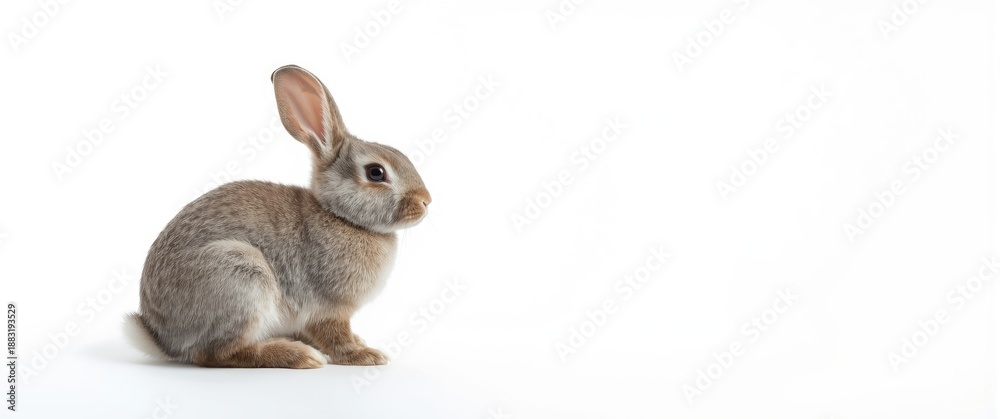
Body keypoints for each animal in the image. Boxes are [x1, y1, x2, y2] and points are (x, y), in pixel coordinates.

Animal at [123, 65, 431, 368]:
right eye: (376, 173)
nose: (426, 201)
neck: (340, 216)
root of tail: (164, 339)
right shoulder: (327, 308)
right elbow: (335, 335)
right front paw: (364, 355)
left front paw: (361, 343)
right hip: (241, 278)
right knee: (216, 354)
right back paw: (298, 355)